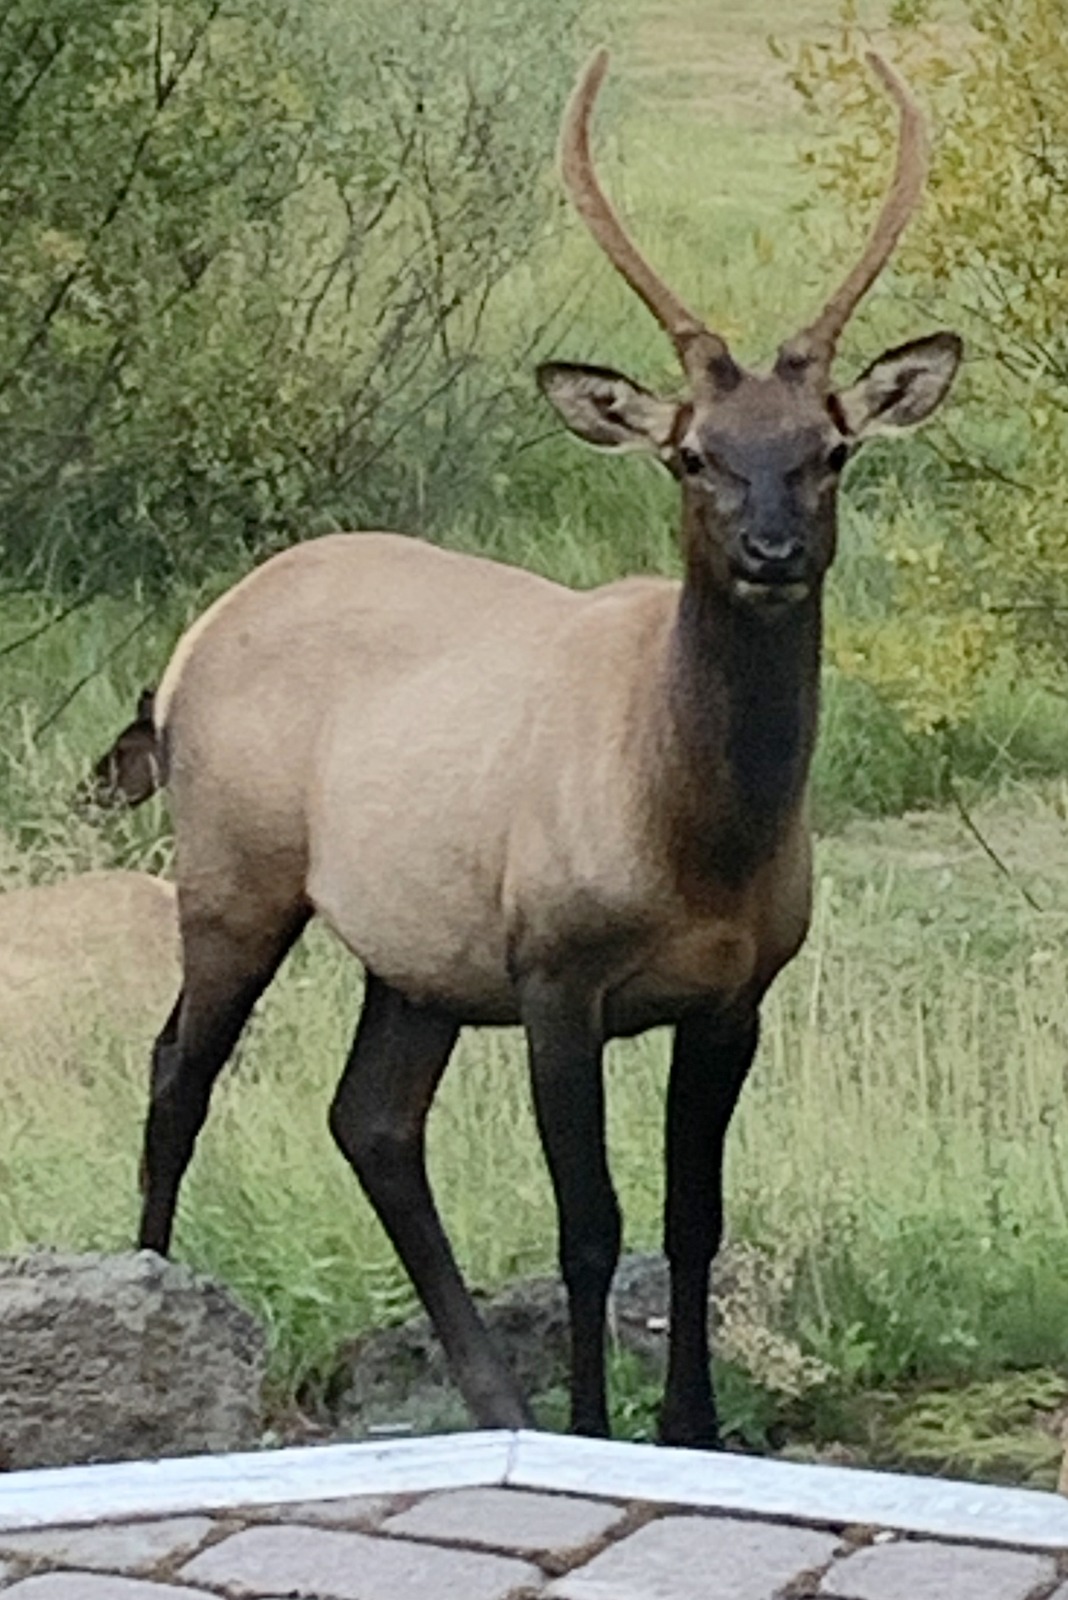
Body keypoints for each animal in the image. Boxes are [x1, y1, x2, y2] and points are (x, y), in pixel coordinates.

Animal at [133, 53, 959, 1452]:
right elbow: (590, 1228)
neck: (697, 845)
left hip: (414, 950)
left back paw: (489, 1392)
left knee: (371, 1118)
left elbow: (693, 1222)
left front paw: (689, 1431)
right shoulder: (555, 974)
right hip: (236, 869)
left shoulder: (737, 993)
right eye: (692, 454)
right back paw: (144, 1289)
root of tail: (196, 639)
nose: (774, 551)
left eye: (831, 448)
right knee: (177, 1068)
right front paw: (593, 1425)